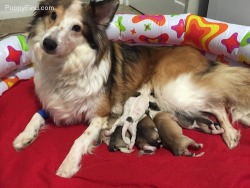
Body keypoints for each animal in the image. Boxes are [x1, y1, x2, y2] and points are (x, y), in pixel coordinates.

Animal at [12, 0, 250, 178]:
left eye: (76, 28)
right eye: (53, 15)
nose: (48, 43)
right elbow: (36, 115)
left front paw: (68, 164)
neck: (64, 66)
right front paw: (24, 136)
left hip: (173, 91)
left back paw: (230, 134)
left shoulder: (100, 114)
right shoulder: (52, 102)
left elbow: (79, 139)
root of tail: (196, 52)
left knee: (218, 103)